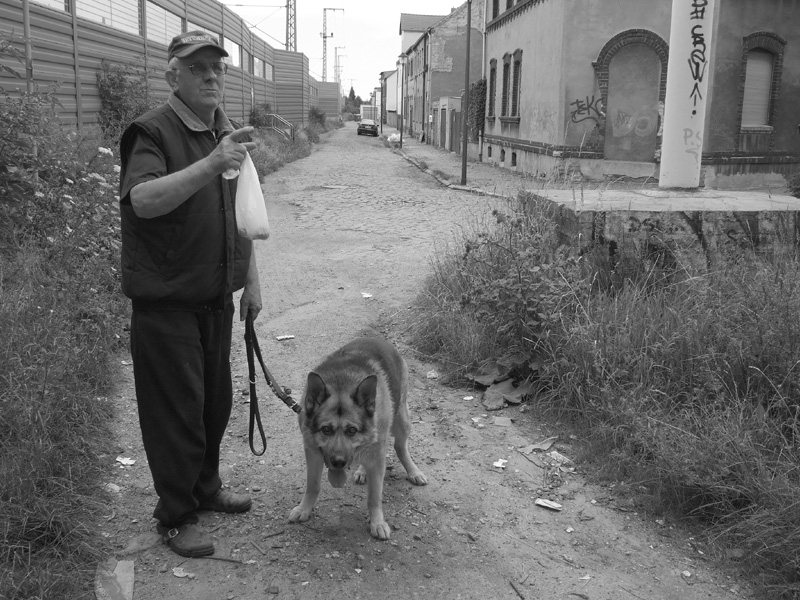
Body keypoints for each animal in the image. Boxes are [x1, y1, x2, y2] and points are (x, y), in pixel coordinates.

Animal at [286, 338, 424, 540]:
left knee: (400, 447)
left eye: (352, 430)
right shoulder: (313, 453)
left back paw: (413, 471)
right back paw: (362, 470)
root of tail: (376, 337)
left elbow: (374, 497)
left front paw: (377, 522)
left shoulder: (377, 459)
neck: (342, 384)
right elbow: (313, 485)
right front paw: (305, 508)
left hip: (401, 422)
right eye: (326, 429)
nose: (338, 462)